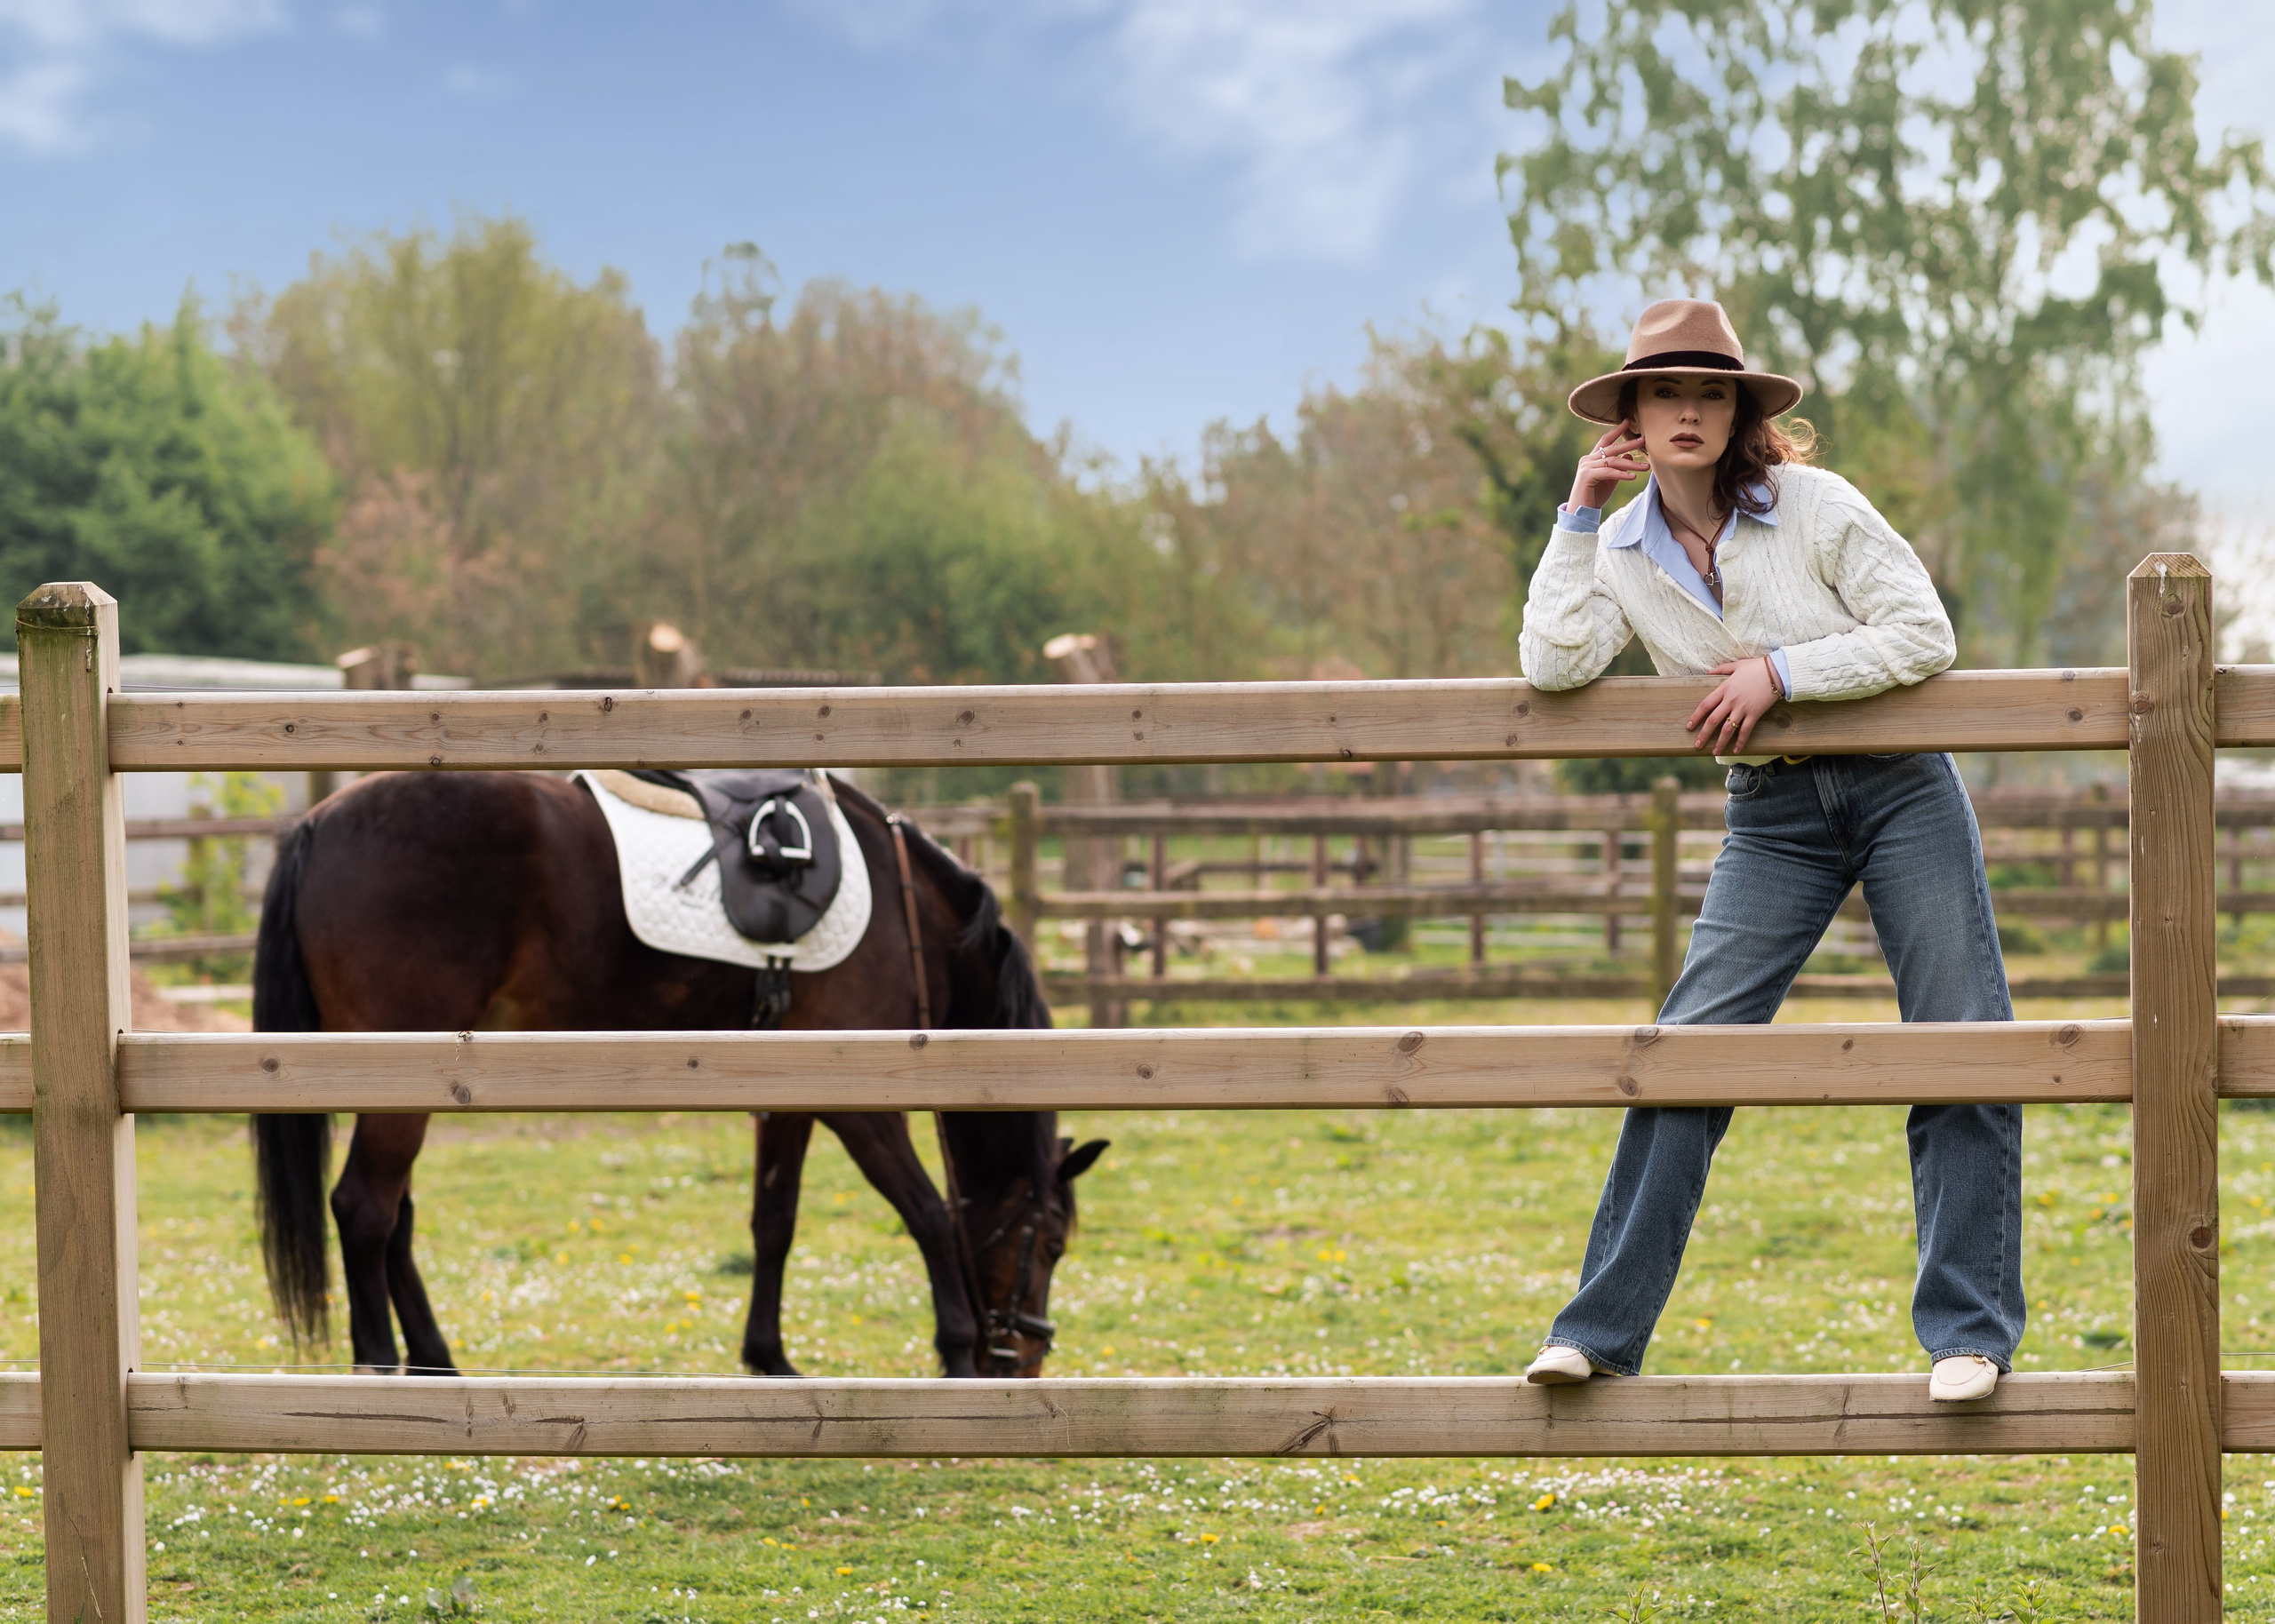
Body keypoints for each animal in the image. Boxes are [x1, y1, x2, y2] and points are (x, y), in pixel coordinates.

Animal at [248, 768, 1108, 1379]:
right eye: (1052, 1240)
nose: (1025, 1359)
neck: (906, 917)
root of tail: (318, 824)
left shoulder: (791, 1095)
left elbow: (775, 1221)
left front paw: (769, 1357)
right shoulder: (860, 1101)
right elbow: (927, 1211)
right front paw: (956, 1350)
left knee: (394, 1215)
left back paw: (434, 1361)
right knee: (366, 1207)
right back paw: (381, 1365)